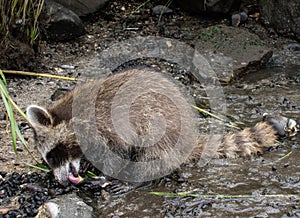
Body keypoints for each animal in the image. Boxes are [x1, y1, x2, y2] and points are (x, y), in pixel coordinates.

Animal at [26, 69, 298, 185]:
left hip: (163, 131)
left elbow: (118, 151)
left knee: (151, 155)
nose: (60, 183)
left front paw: (106, 173)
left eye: (52, 156)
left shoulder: (105, 125)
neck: (72, 115)